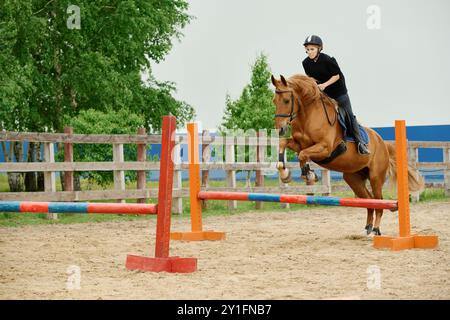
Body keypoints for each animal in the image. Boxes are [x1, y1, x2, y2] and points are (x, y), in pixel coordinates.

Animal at [270, 74, 426, 236]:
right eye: (274, 101)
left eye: (286, 100)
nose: (280, 129)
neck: (308, 115)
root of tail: (382, 143)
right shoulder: (298, 143)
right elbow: (285, 145)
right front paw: (285, 174)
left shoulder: (325, 148)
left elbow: (302, 155)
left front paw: (309, 175)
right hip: (353, 178)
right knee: (369, 200)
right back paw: (367, 228)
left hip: (376, 177)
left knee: (379, 201)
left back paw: (376, 229)